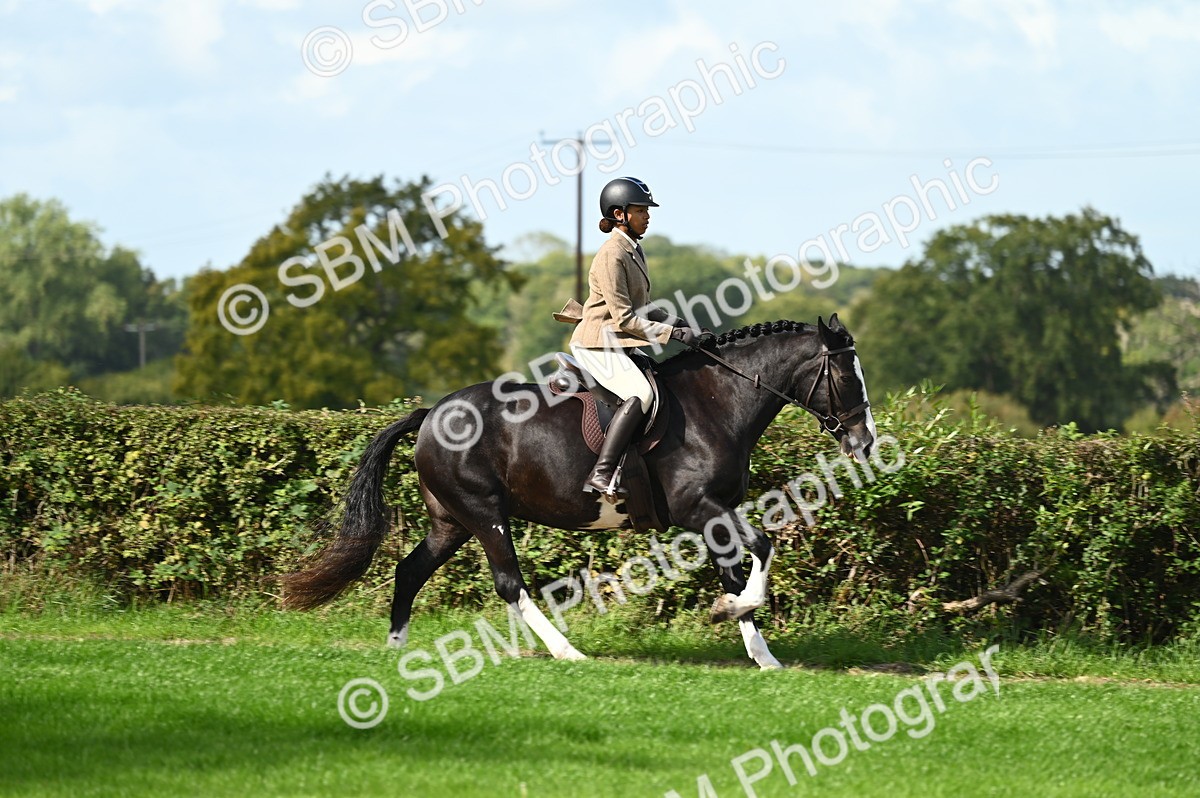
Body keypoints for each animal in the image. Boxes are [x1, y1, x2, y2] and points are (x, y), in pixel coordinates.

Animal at [283, 314, 876, 669]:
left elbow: (737, 566)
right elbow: (762, 546)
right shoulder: (698, 507)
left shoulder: (715, 513)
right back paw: (567, 651)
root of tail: (431, 414)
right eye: (848, 375)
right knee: (510, 584)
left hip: (451, 521)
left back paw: (396, 650)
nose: (866, 442)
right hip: (483, 512)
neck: (718, 402)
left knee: (410, 571)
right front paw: (732, 611)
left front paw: (758, 651)